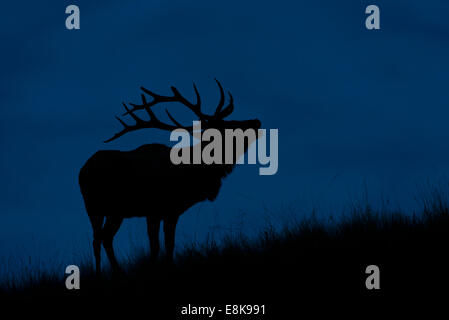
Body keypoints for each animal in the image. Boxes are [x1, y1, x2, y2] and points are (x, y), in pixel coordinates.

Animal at [77, 80, 260, 276]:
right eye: (229, 126)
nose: (256, 121)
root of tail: (82, 171)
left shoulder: (172, 211)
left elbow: (169, 245)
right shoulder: (154, 210)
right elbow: (156, 246)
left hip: (114, 212)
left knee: (105, 238)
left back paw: (116, 271)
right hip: (94, 207)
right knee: (98, 239)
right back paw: (100, 272)